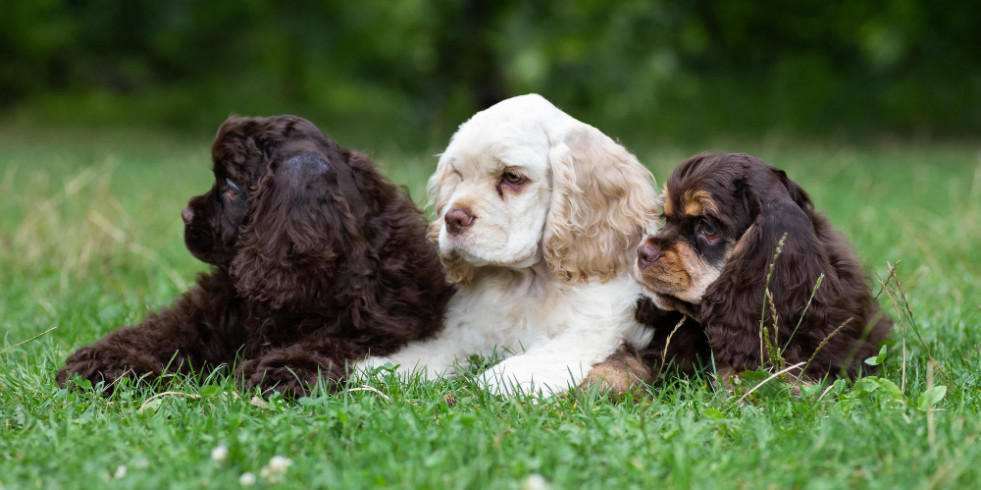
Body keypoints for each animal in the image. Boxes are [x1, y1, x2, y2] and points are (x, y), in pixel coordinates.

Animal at [360, 94, 660, 396]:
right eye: (458, 175)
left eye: (513, 177)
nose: (453, 219)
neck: (527, 281)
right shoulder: (466, 333)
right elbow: (433, 353)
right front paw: (378, 367)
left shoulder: (586, 334)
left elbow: (528, 363)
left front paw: (491, 383)